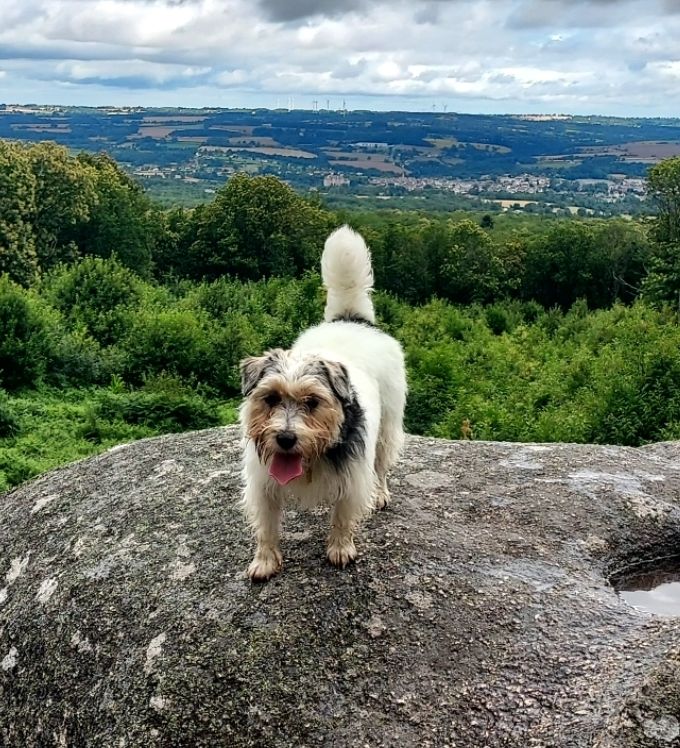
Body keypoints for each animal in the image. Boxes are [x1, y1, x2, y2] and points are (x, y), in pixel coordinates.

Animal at [239, 225, 406, 580]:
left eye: (313, 402)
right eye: (270, 398)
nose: (285, 438)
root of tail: (352, 319)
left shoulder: (353, 477)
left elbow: (342, 517)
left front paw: (340, 549)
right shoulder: (262, 484)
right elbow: (266, 527)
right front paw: (264, 561)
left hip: (387, 428)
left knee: (382, 466)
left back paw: (381, 493)